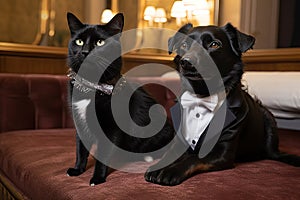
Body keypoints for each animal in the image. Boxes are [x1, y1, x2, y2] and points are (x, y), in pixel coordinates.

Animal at [65, 12, 173, 186]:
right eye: (79, 41)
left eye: (100, 42)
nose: (85, 51)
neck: (91, 85)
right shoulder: (79, 121)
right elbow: (80, 149)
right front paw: (77, 170)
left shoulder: (112, 128)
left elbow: (103, 154)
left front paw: (97, 178)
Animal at [144, 23, 298, 186]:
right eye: (184, 45)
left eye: (214, 44)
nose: (186, 62)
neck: (201, 96)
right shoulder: (179, 141)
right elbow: (170, 154)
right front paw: (159, 166)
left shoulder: (222, 153)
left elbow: (193, 158)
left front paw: (171, 171)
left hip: (269, 120)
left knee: (274, 153)